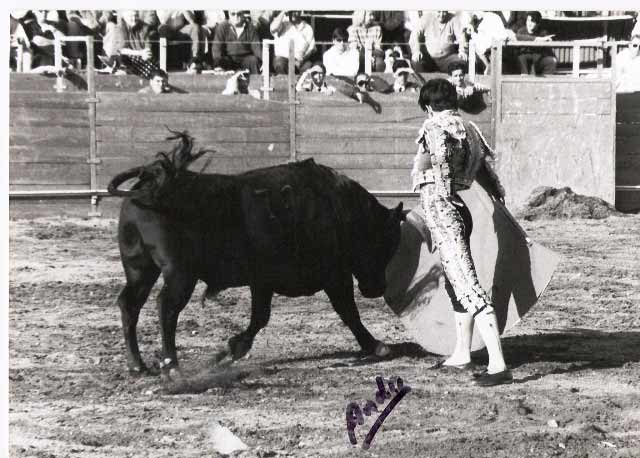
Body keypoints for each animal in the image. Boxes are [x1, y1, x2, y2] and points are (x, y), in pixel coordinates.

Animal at [107, 131, 402, 376]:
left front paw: (230, 349)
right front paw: (376, 345)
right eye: (385, 243)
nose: (377, 289)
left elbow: (260, 316)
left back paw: (137, 365)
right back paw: (172, 367)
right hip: (180, 273)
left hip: (140, 269)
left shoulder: (263, 280)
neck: (337, 208)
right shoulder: (334, 275)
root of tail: (154, 184)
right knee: (166, 306)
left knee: (130, 304)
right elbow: (348, 311)